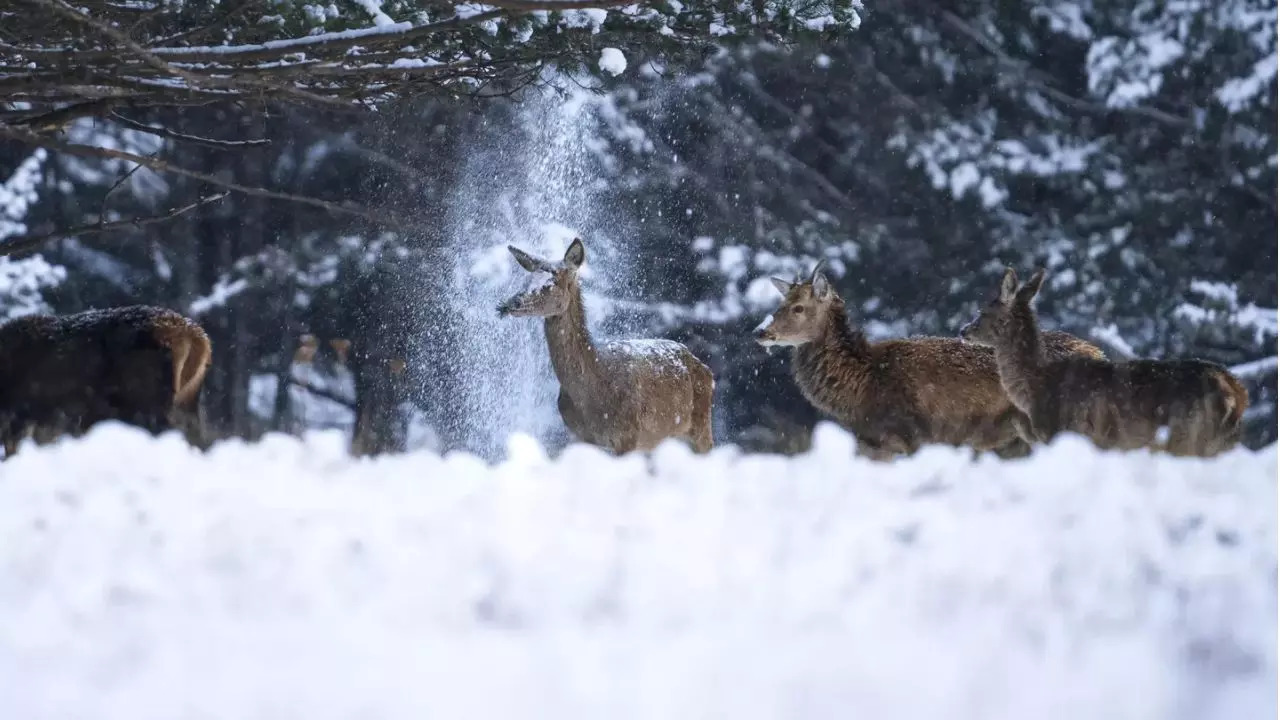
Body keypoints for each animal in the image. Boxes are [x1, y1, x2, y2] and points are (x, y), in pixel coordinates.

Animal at [499, 238, 721, 450]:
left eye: (550, 283)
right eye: (526, 279)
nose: (509, 304)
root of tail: (705, 368)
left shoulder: (628, 433)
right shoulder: (576, 434)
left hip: (701, 426)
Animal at [752, 262, 1105, 458]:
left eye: (799, 308)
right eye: (781, 303)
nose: (761, 332)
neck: (861, 387)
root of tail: (1099, 353)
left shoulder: (908, 437)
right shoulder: (870, 442)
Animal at [962, 266, 1249, 456]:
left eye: (983, 312)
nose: (964, 330)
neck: (1036, 388)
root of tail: (1235, 394)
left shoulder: (1069, 434)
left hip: (1189, 436)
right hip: (1224, 442)